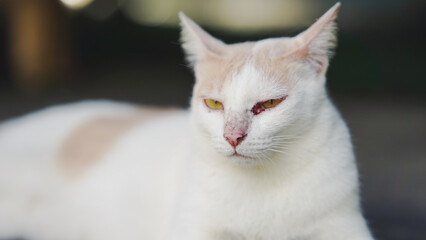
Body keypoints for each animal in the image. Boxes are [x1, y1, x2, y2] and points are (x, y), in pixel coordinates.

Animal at [0, 2, 372, 240]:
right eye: (213, 103)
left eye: (268, 104)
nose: (233, 136)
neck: (261, 184)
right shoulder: (190, 229)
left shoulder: (344, 226)